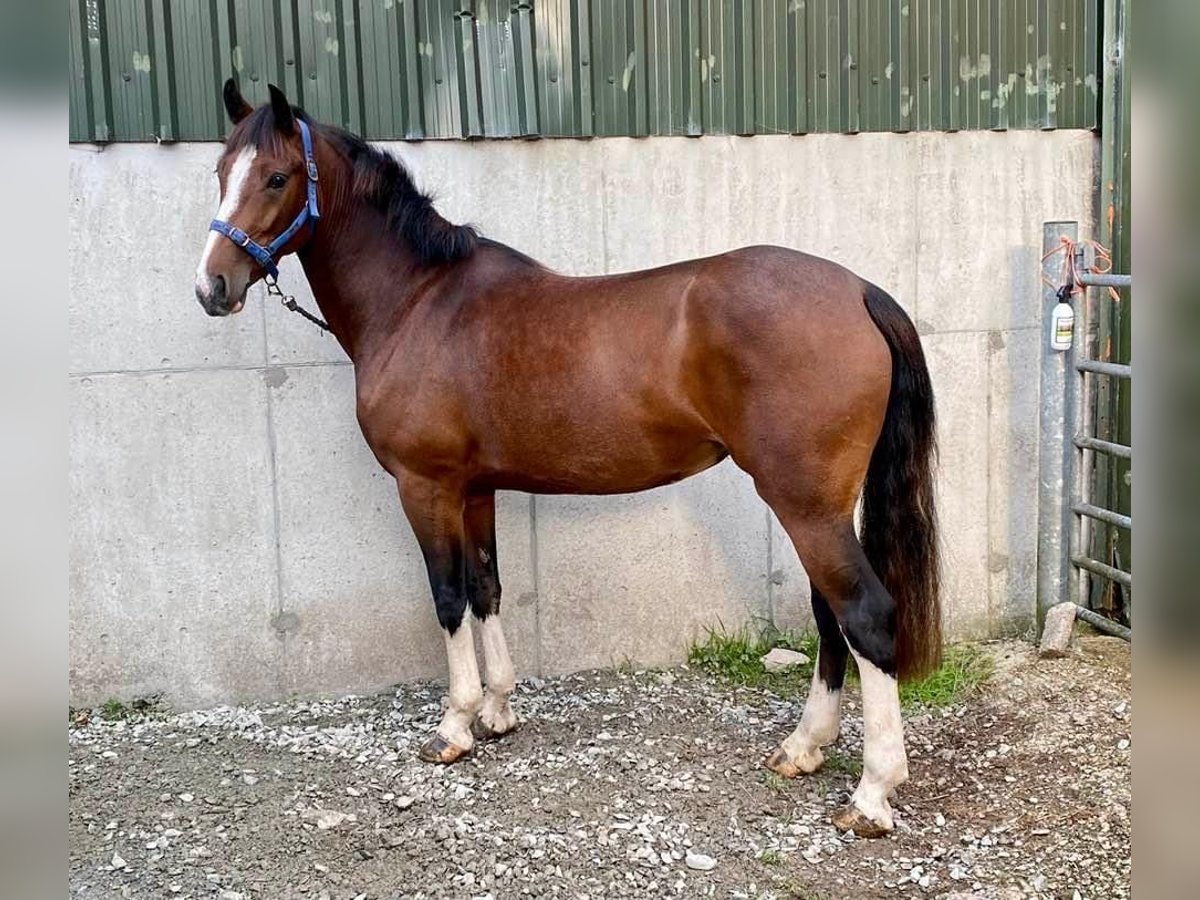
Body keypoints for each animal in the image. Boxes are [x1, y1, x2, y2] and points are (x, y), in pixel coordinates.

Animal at [196, 84, 940, 840]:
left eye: (277, 177)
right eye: (222, 172)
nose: (213, 286)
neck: (418, 302)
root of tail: (857, 291)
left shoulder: (425, 487)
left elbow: (448, 597)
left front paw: (455, 726)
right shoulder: (475, 490)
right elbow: (487, 587)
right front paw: (498, 711)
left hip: (804, 504)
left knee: (865, 615)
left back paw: (872, 793)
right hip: (817, 504)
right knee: (829, 614)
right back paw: (803, 748)